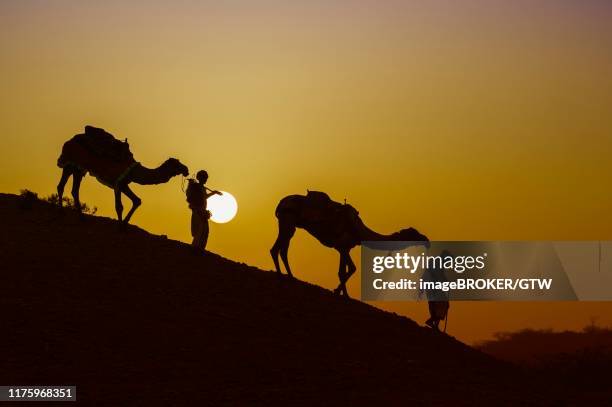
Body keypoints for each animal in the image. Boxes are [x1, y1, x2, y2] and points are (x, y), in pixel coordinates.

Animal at [56, 126, 186, 225]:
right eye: (177, 164)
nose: (186, 169)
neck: (134, 171)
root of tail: (69, 141)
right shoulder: (117, 183)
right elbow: (119, 206)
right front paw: (120, 226)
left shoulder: (124, 184)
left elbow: (137, 201)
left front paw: (124, 223)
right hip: (71, 163)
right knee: (64, 186)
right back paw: (62, 212)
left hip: (77, 168)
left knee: (72, 189)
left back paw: (80, 216)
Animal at [270, 193, 428, 298]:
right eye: (414, 234)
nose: (426, 241)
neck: (359, 230)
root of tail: (281, 203)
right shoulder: (343, 247)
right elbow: (349, 269)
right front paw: (341, 293)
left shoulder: (344, 248)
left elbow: (345, 270)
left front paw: (341, 293)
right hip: (288, 220)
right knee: (278, 249)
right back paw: (283, 276)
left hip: (288, 223)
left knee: (281, 248)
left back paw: (288, 275)